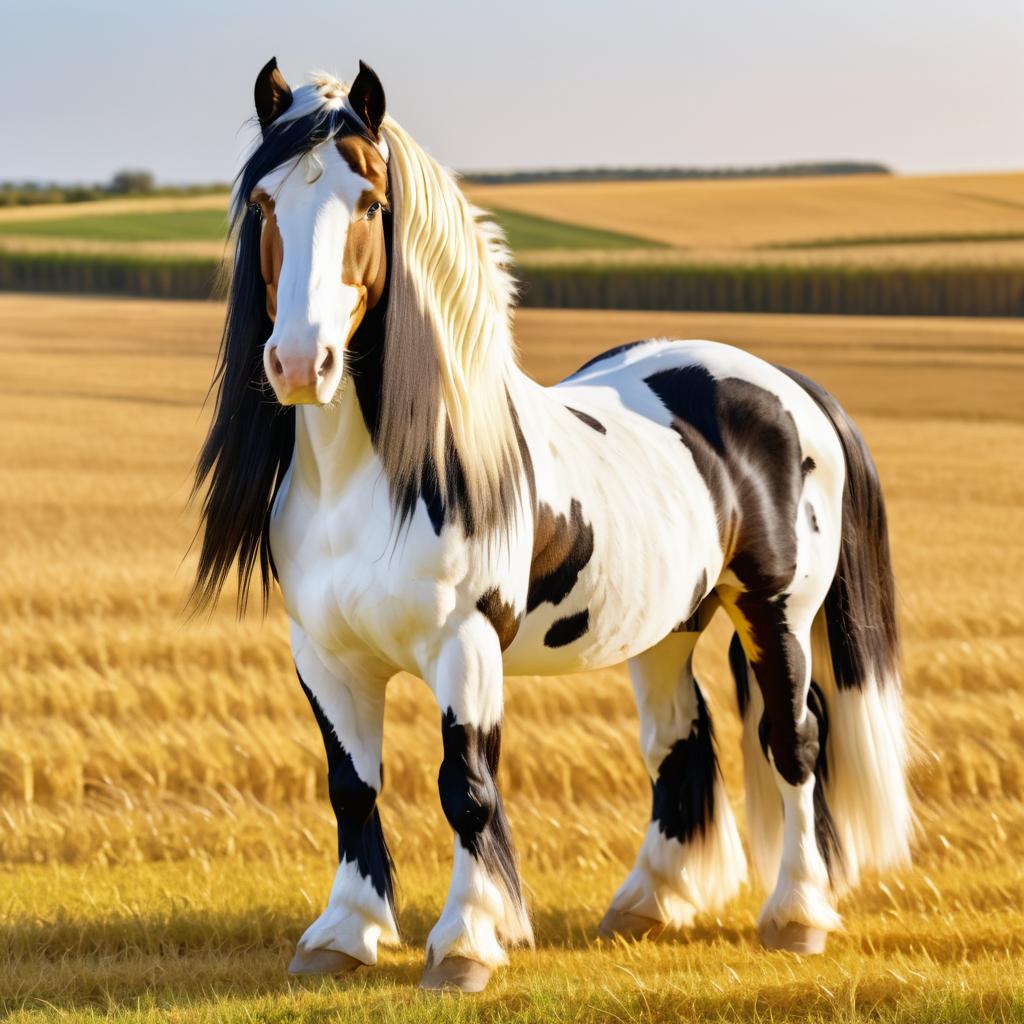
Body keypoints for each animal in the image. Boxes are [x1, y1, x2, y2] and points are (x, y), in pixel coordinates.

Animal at [192, 58, 913, 991]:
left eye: (372, 203)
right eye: (265, 203)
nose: (296, 362)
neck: (377, 478)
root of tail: (788, 384)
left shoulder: (467, 647)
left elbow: (466, 789)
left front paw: (466, 944)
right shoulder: (324, 654)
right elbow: (351, 788)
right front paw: (342, 935)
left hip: (776, 613)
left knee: (793, 742)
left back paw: (795, 916)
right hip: (669, 629)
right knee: (680, 742)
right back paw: (649, 902)